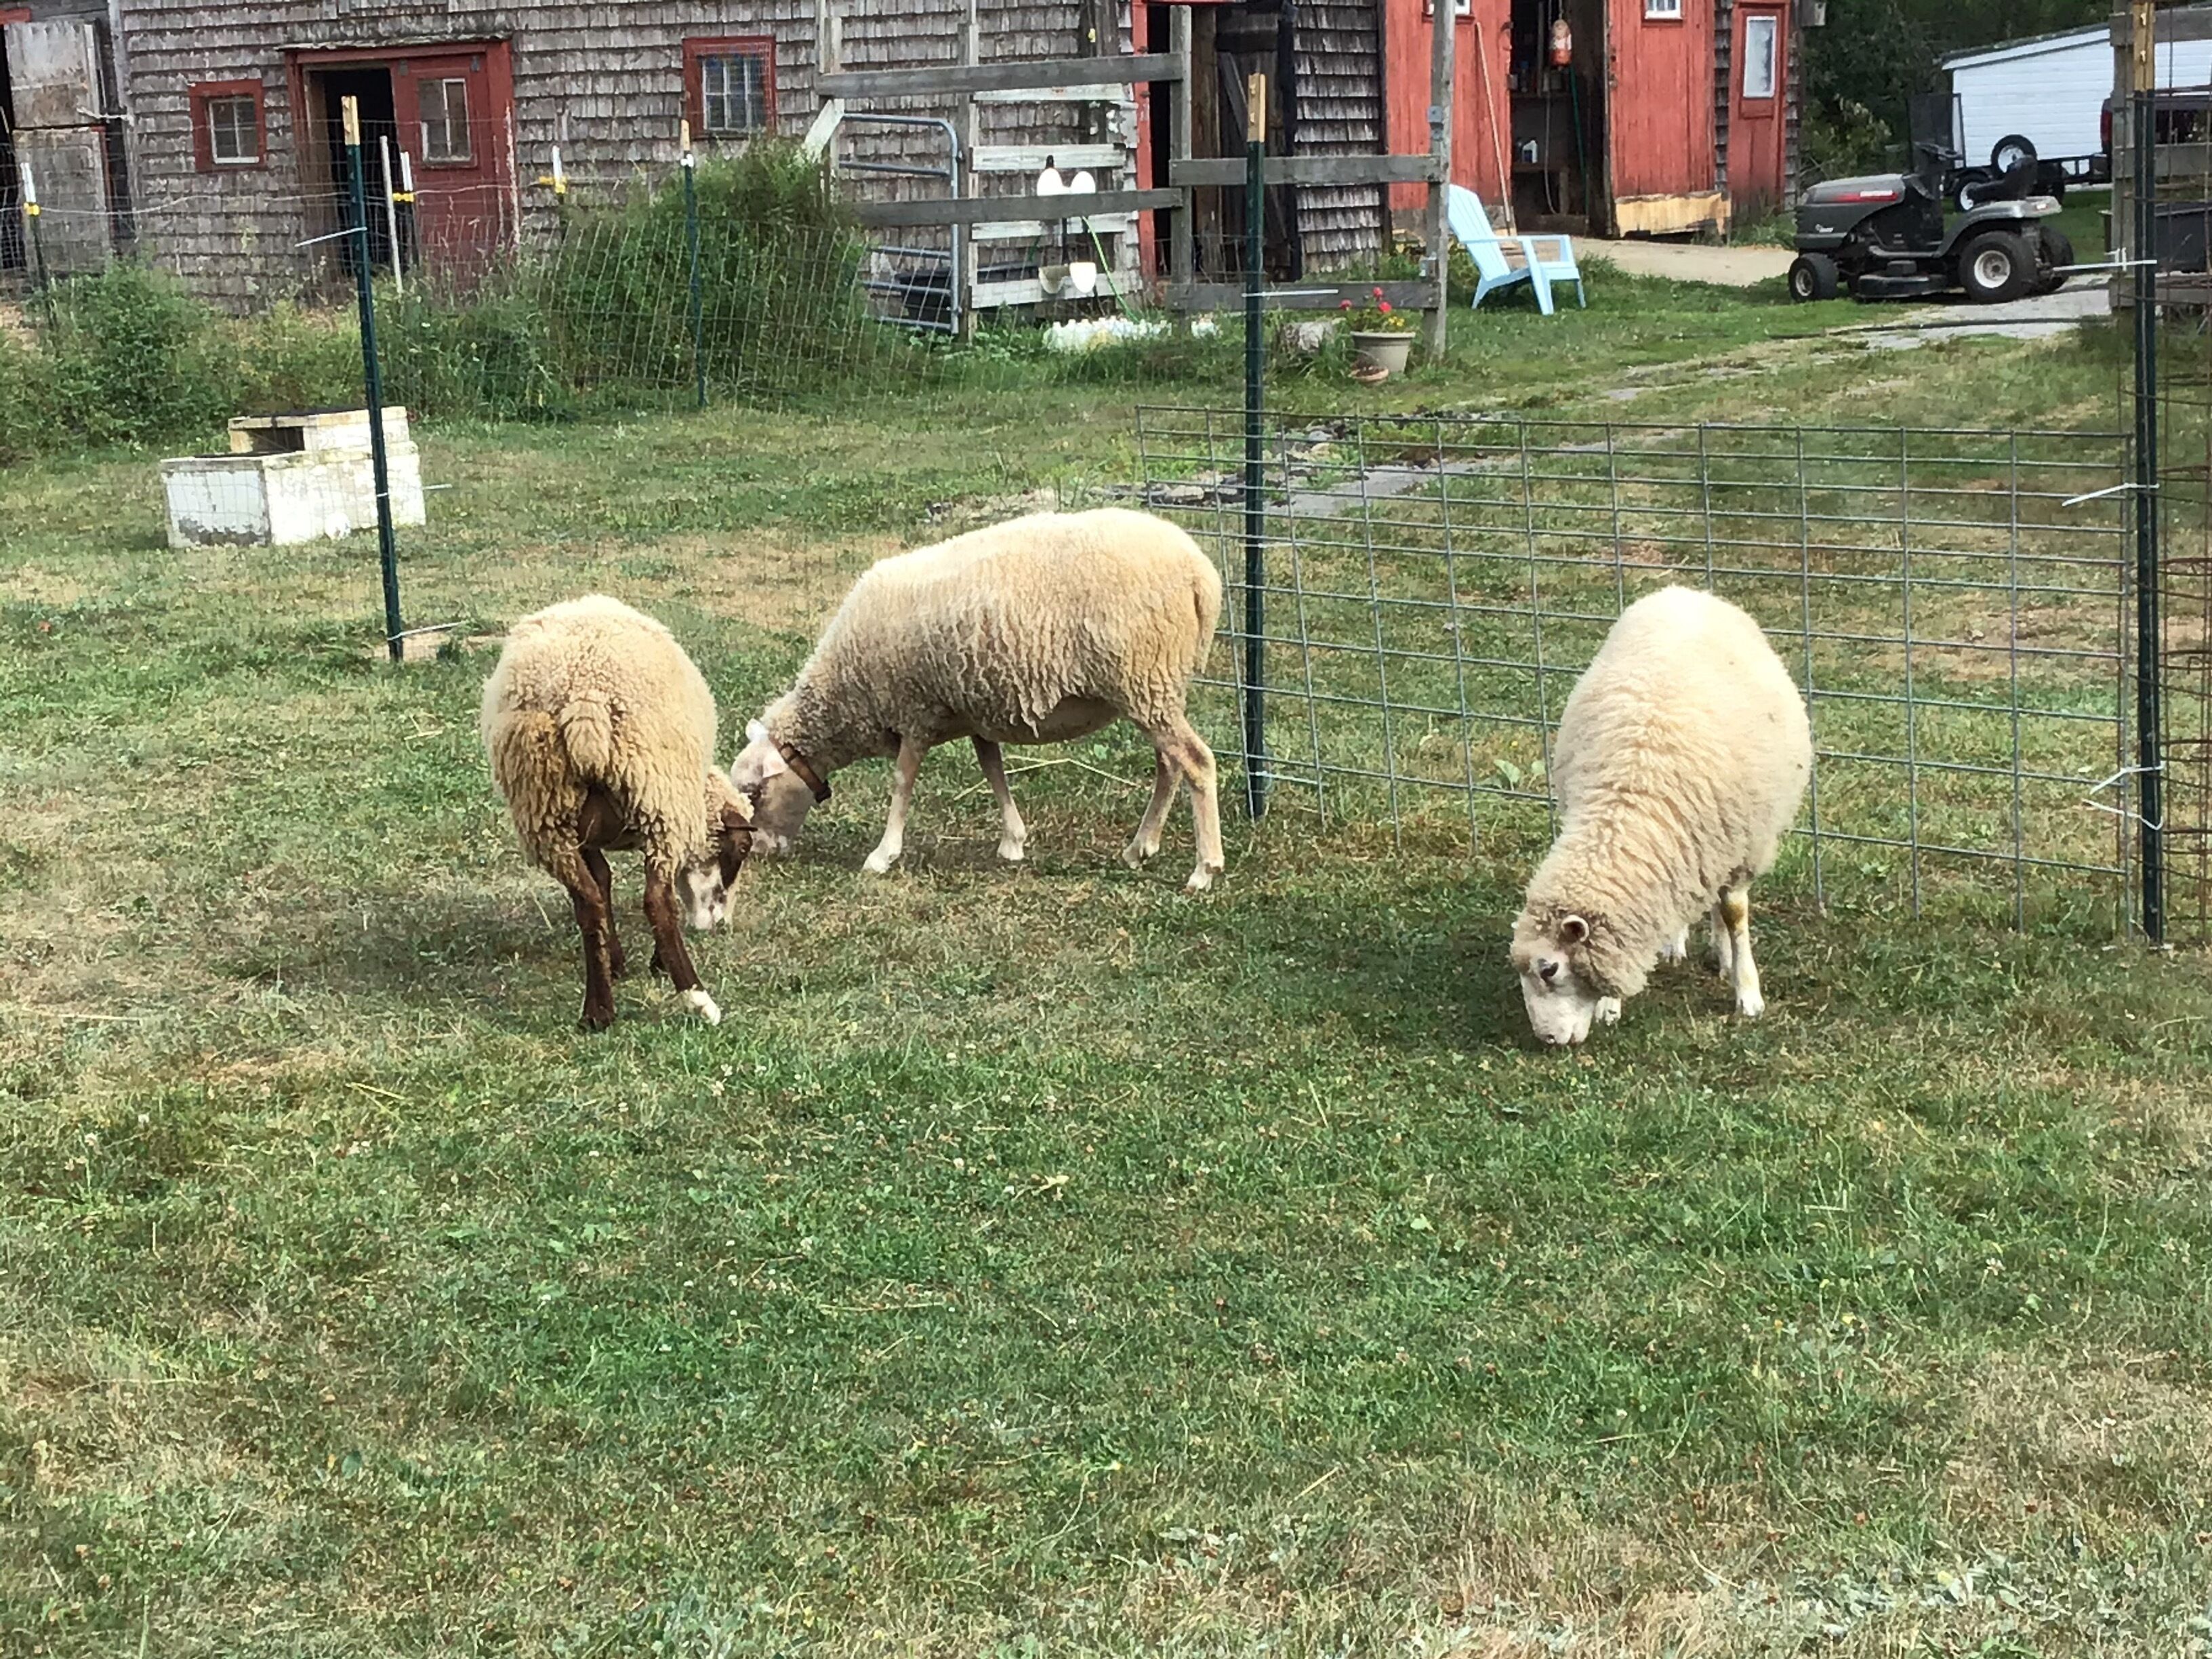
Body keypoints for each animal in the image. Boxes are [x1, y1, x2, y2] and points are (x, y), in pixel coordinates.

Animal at [482, 594, 754, 1030]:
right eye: (742, 850)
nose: (720, 925)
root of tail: (585, 702)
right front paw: (656, 963)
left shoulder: (585, 837)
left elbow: (603, 882)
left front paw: (615, 961)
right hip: (659, 801)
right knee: (658, 903)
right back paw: (698, 998)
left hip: (547, 813)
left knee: (588, 903)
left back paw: (598, 1011)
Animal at [730, 507, 1228, 890]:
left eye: (755, 792)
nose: (759, 852)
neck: (845, 694)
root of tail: (1200, 573)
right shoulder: (973, 709)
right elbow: (993, 770)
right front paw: (1013, 841)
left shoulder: (916, 710)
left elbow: (902, 783)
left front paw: (883, 854)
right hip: (1156, 688)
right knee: (1170, 764)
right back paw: (1140, 847)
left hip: (1144, 678)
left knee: (1196, 761)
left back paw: (1204, 869)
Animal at [1509, 585, 1812, 1046]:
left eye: (1550, 969)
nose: (1547, 1040)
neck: (1634, 795)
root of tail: (1682, 591)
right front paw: (1610, 1006)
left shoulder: (1740, 848)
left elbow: (1735, 914)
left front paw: (1747, 994)